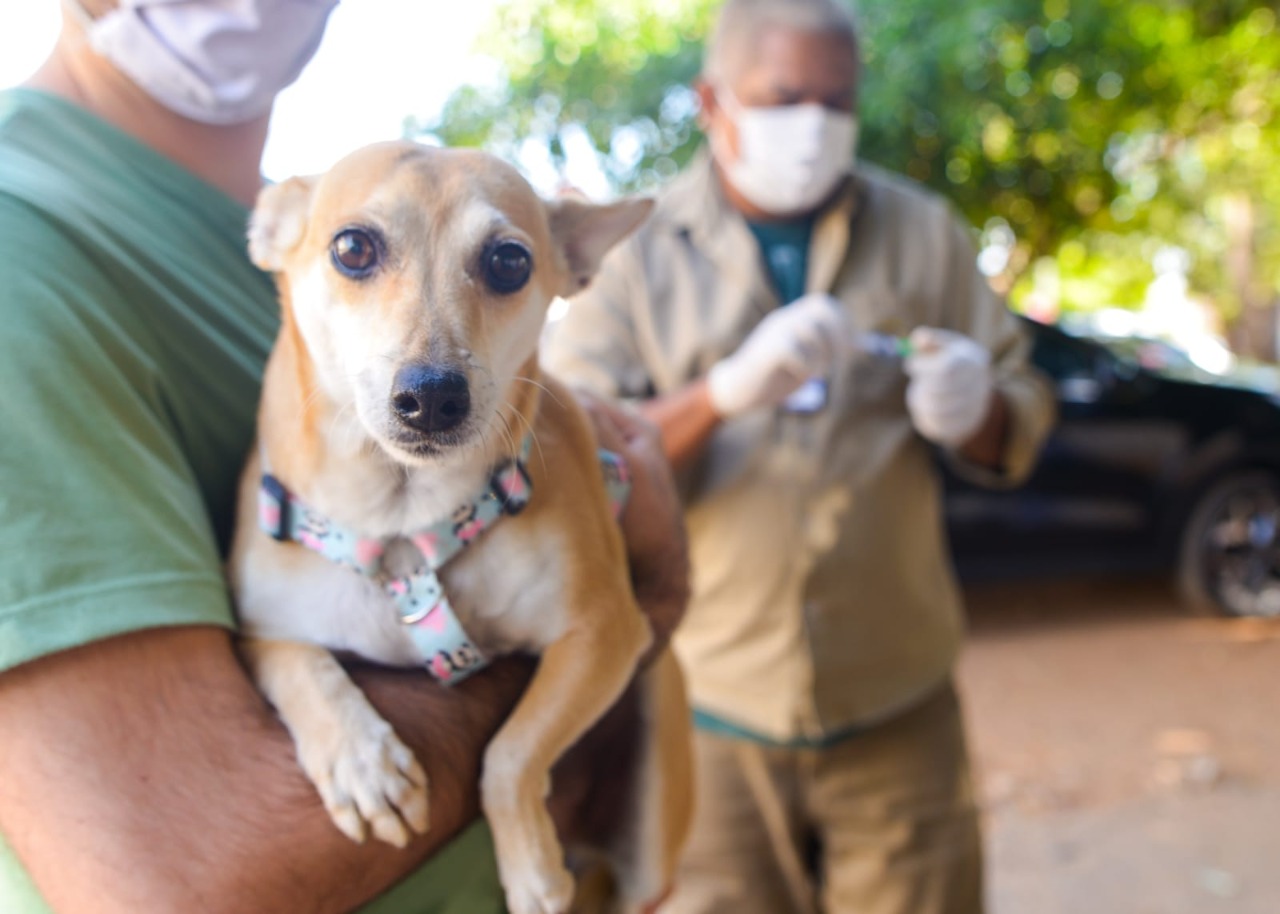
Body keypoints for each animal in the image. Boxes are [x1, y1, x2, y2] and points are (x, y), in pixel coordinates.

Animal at [227, 142, 691, 911]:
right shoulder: (264, 631)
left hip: (652, 840)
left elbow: (511, 752)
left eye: (509, 261)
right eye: (352, 248)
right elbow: (302, 666)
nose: (434, 395)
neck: (402, 524)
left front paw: (531, 868)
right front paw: (360, 759)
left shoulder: (603, 634)